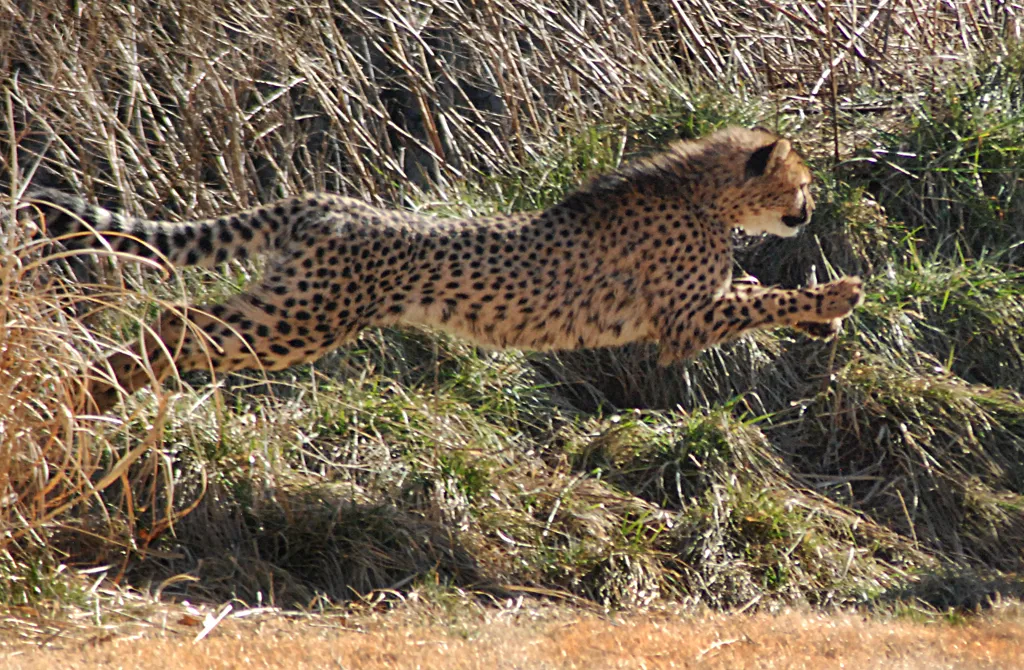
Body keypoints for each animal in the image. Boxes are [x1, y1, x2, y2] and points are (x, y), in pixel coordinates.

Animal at [25, 126, 863, 413]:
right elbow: (759, 301)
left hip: (290, 305)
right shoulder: (682, 323)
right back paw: (83, 393)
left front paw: (819, 314)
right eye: (800, 181)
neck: (700, 193)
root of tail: (324, 201)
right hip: (302, 320)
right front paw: (834, 298)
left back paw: (90, 393)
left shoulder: (696, 303)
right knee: (176, 323)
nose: (813, 205)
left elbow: (752, 289)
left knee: (179, 323)